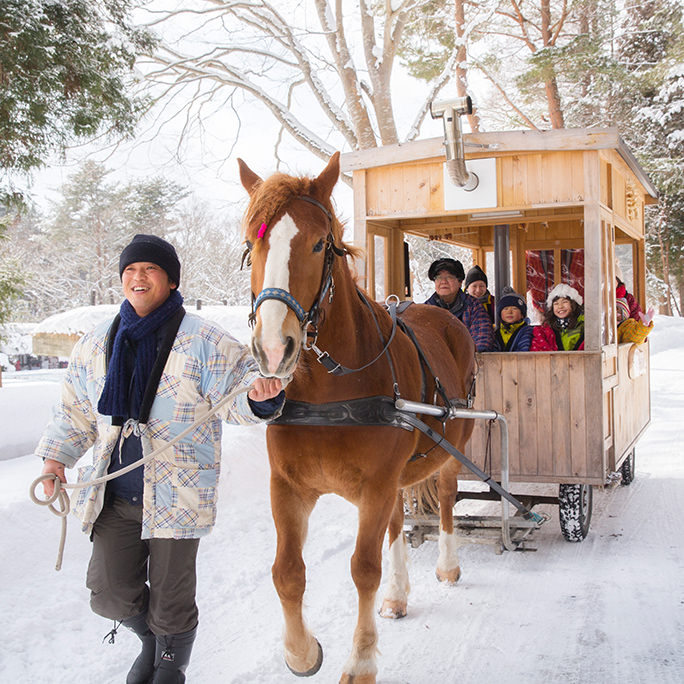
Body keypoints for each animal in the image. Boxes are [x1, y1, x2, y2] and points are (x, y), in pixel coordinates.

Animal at [238, 152, 476, 684]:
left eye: (318, 243)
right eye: (251, 245)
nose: (273, 349)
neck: (333, 391)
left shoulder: (376, 484)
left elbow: (363, 568)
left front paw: (361, 661)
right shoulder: (289, 486)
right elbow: (287, 572)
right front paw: (301, 652)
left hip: (452, 448)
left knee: (447, 500)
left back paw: (448, 565)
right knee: (396, 523)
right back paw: (397, 594)